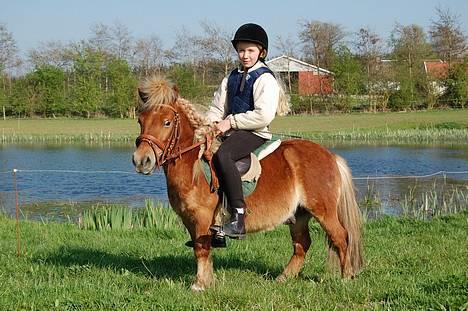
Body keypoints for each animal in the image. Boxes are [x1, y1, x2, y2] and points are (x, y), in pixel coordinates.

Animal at [133, 76, 364, 292]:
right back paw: (284, 278)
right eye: (140, 120)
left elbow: (202, 249)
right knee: (302, 244)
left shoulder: (202, 217)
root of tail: (330, 156)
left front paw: (199, 284)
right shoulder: (190, 220)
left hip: (323, 211)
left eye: (167, 122)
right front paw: (208, 281)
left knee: (341, 237)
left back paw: (346, 278)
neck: (193, 166)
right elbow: (202, 248)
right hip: (299, 214)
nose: (141, 161)